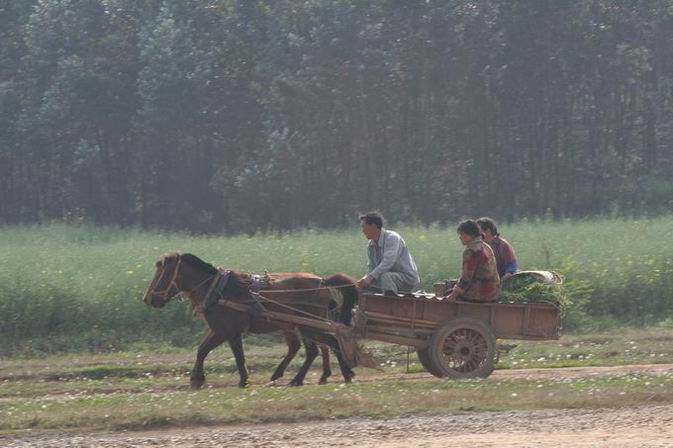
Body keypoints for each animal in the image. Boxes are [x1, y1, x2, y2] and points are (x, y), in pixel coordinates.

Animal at [142, 252, 360, 388]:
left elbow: (232, 355)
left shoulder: (227, 331)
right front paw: (198, 378)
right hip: (298, 324)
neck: (218, 289)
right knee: (314, 347)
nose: (148, 299)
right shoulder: (220, 330)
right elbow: (203, 350)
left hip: (306, 323)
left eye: (162, 274)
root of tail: (322, 281)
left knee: (327, 343)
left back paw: (340, 374)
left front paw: (240, 380)